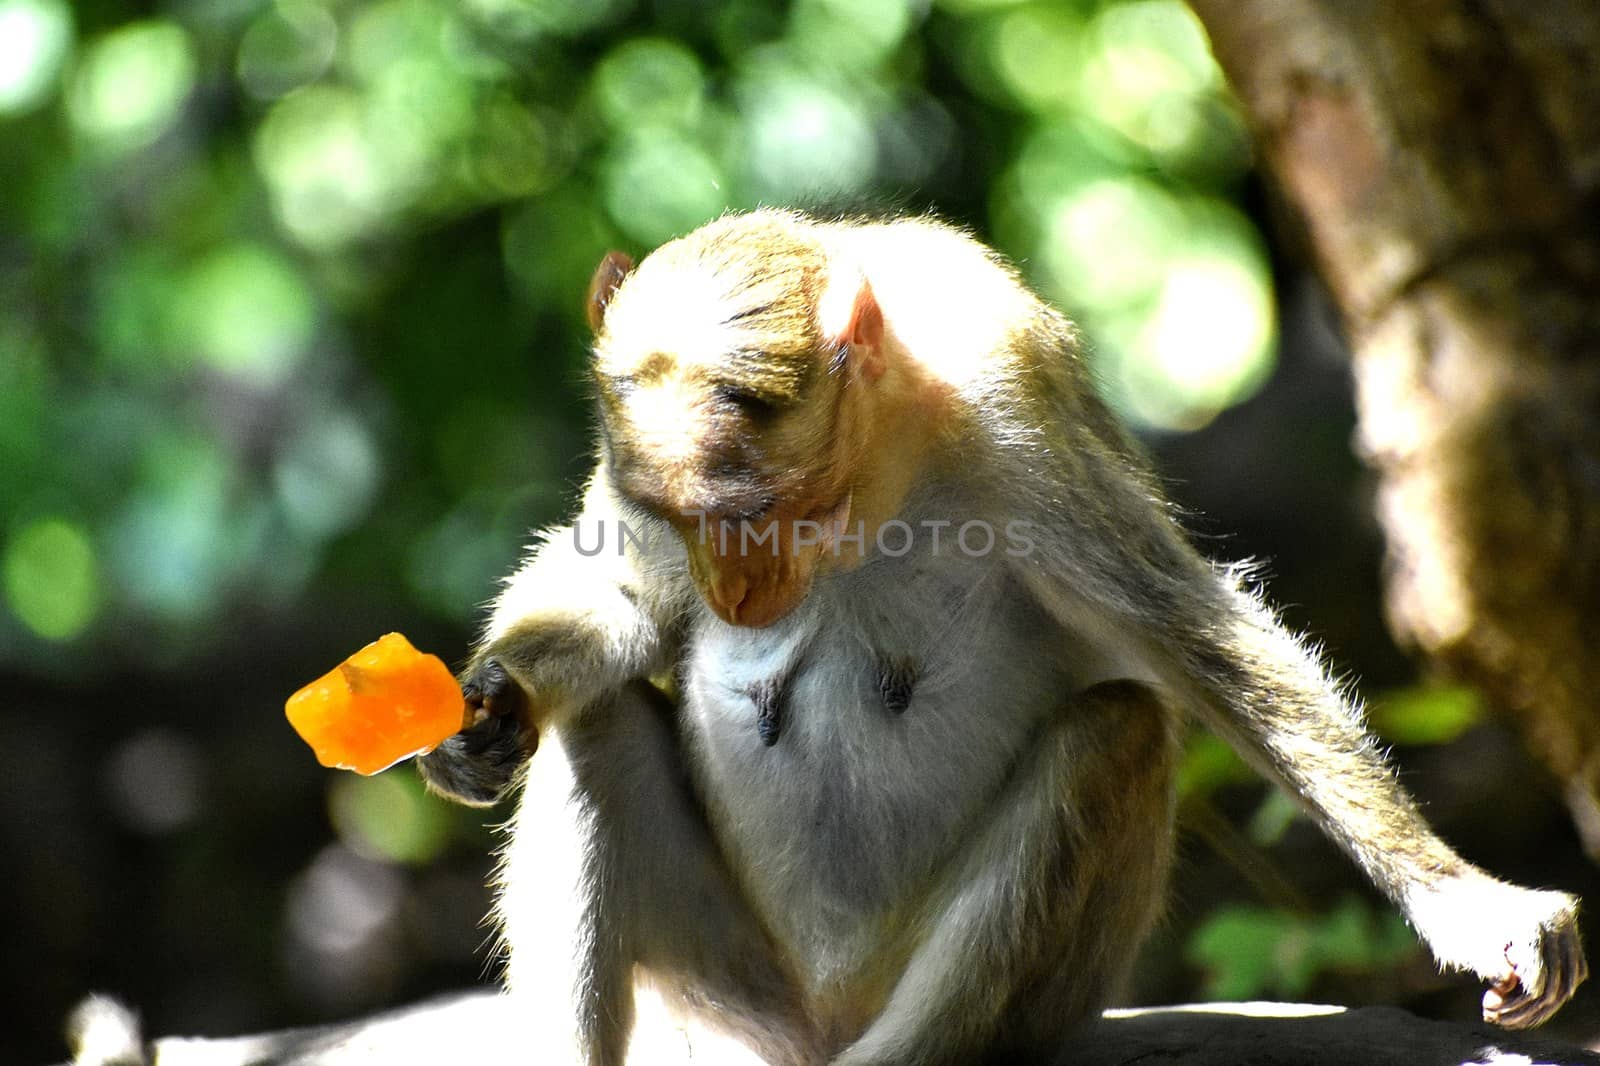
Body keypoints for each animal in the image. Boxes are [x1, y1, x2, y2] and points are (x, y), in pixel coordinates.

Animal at [416, 209, 1587, 1062]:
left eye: (758, 513)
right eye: (678, 518)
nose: (739, 596)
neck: (886, 447)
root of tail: (816, 1027)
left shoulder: (1013, 397)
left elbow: (1192, 637)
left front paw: (1468, 905)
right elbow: (617, 599)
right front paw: (487, 709)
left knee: (1114, 732)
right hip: (728, 994)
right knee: (601, 732)